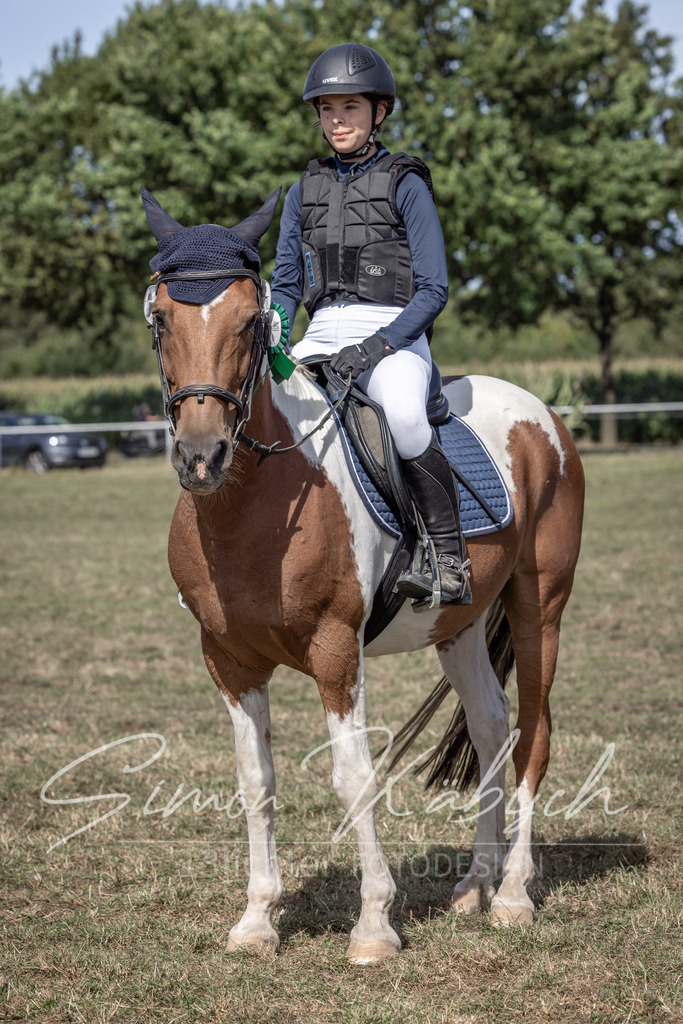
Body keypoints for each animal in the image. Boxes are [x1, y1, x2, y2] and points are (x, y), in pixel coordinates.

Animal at [141, 186, 585, 964]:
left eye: (249, 322)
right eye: (162, 318)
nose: (202, 456)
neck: (253, 504)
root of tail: (543, 416)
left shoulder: (333, 648)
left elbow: (353, 777)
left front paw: (374, 925)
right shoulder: (227, 659)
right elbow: (255, 780)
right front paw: (257, 921)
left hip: (541, 609)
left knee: (534, 732)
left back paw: (511, 896)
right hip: (460, 623)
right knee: (492, 725)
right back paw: (475, 883)